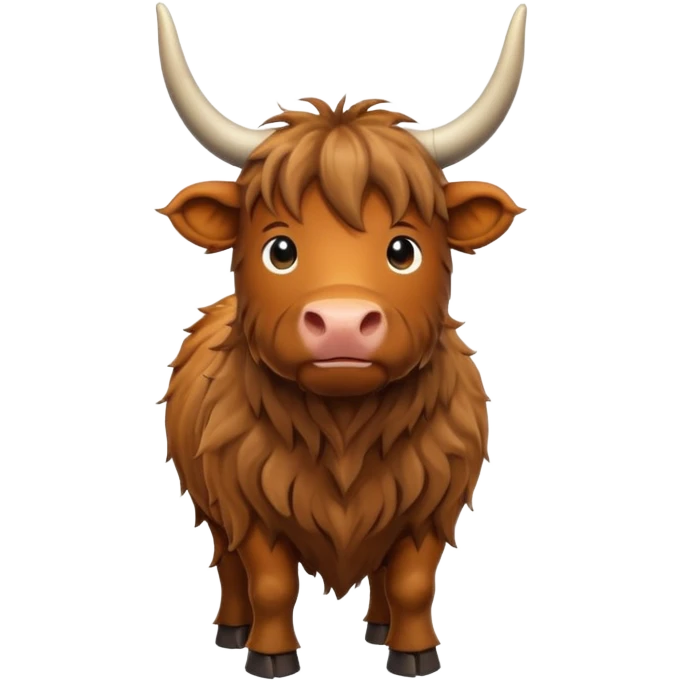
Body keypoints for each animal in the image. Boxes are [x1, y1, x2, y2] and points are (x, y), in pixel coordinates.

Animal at [153, 2, 527, 678]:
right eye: (280, 249)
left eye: (403, 249)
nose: (345, 320)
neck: (345, 431)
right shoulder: (249, 506)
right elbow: (271, 581)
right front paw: (269, 656)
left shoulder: (428, 506)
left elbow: (412, 581)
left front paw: (415, 653)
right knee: (228, 567)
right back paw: (233, 629)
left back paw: (379, 627)